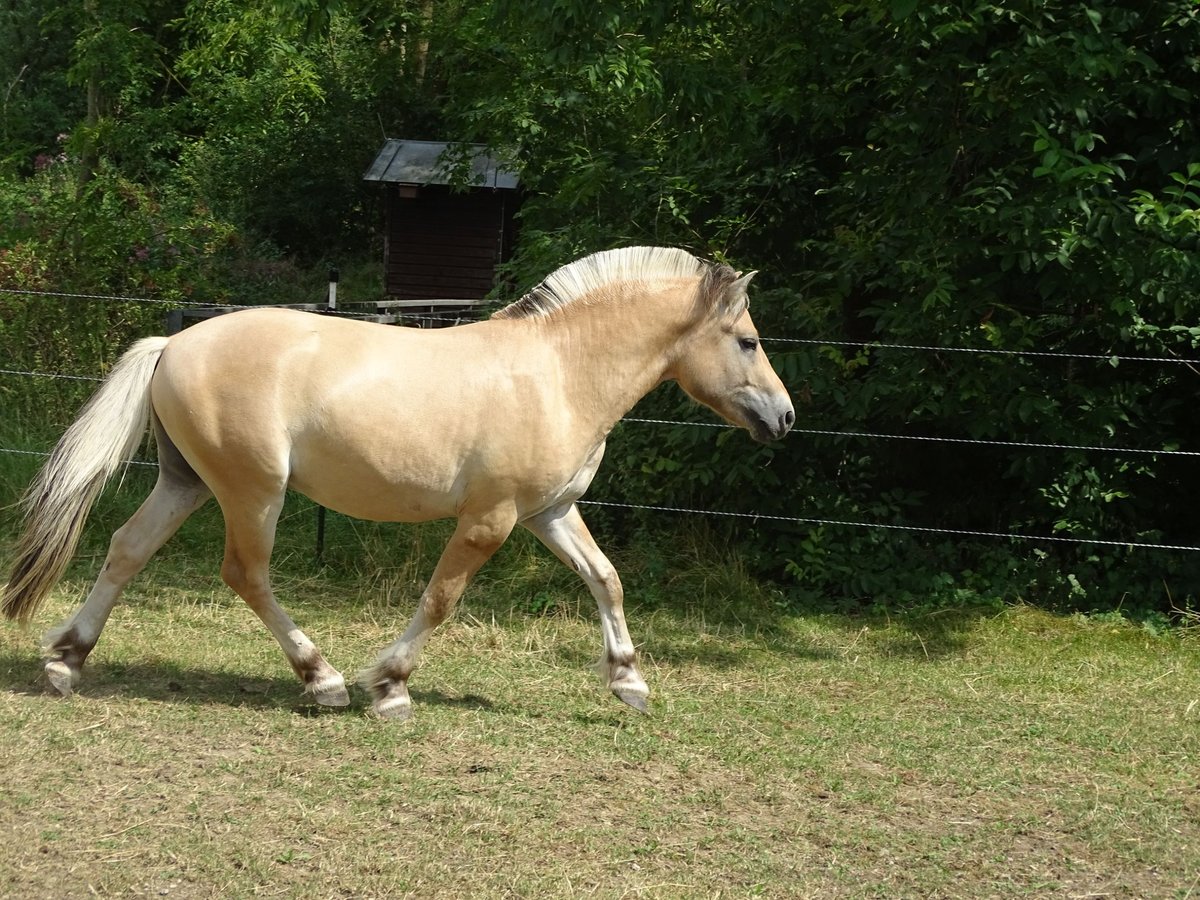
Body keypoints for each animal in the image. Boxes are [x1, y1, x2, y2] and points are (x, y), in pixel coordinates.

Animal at [2, 244, 796, 720]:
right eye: (748, 340)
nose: (785, 417)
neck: (559, 372)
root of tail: (174, 343)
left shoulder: (551, 512)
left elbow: (606, 580)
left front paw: (629, 681)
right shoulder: (491, 519)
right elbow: (441, 600)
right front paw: (388, 686)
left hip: (187, 481)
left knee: (127, 548)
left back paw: (66, 662)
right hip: (253, 491)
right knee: (245, 573)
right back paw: (321, 680)